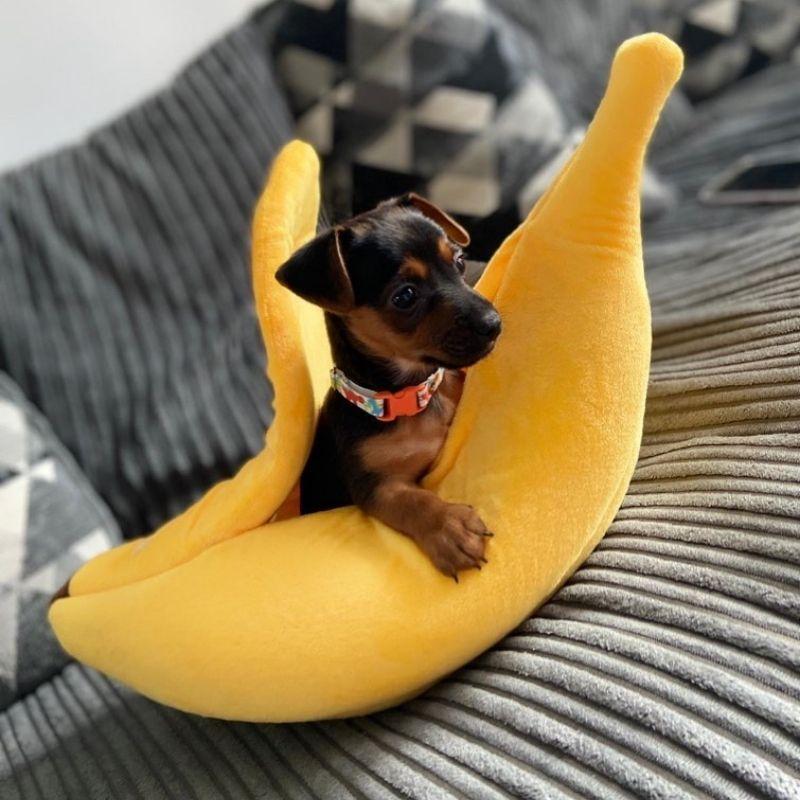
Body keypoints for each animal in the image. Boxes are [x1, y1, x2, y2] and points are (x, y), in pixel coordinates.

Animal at [276, 194, 500, 580]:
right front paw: (449, 527)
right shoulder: (373, 484)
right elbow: (410, 499)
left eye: (459, 262)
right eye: (405, 296)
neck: (411, 396)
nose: (494, 323)